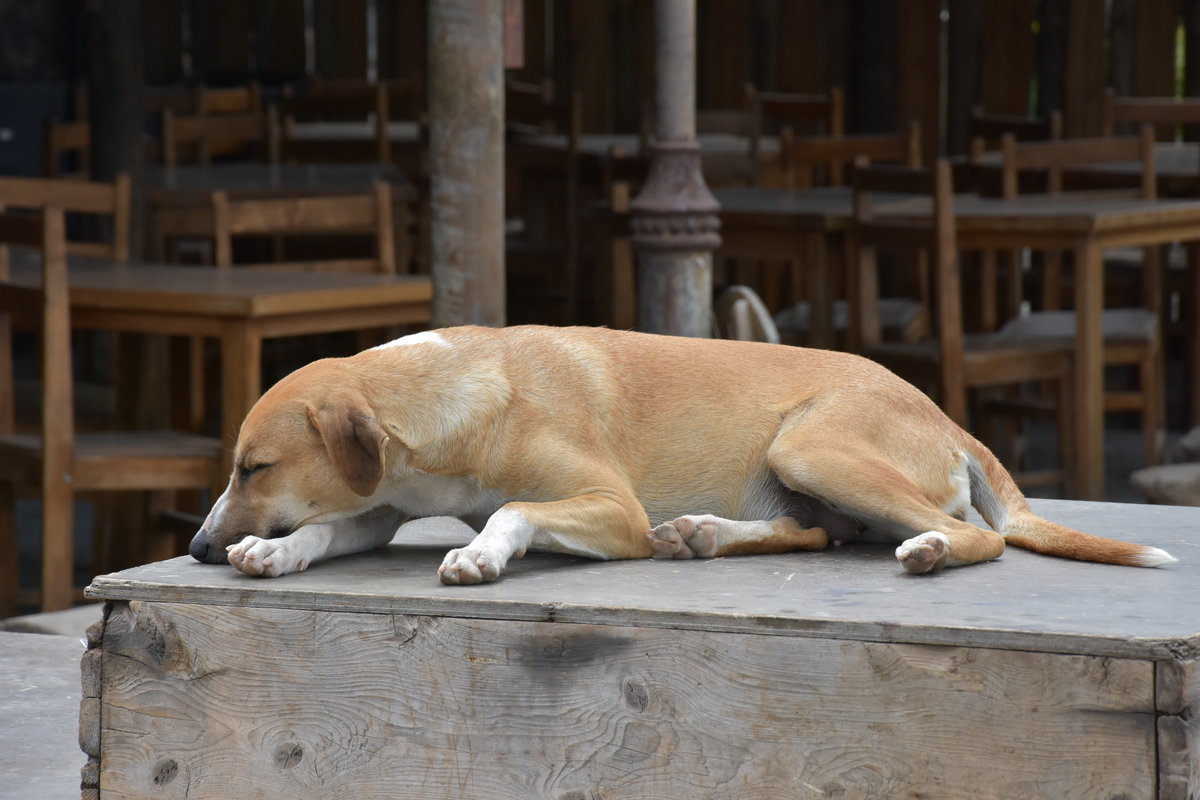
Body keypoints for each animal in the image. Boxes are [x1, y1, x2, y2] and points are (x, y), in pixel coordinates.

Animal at [192, 323, 1176, 582]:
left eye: (254, 466)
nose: (197, 549)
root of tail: (941, 412)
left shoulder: (611, 510)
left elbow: (513, 509)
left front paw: (480, 554)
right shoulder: (377, 505)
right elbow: (328, 530)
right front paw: (277, 550)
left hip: (812, 445)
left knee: (978, 535)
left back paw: (932, 548)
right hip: (803, 479)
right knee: (818, 535)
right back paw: (702, 534)